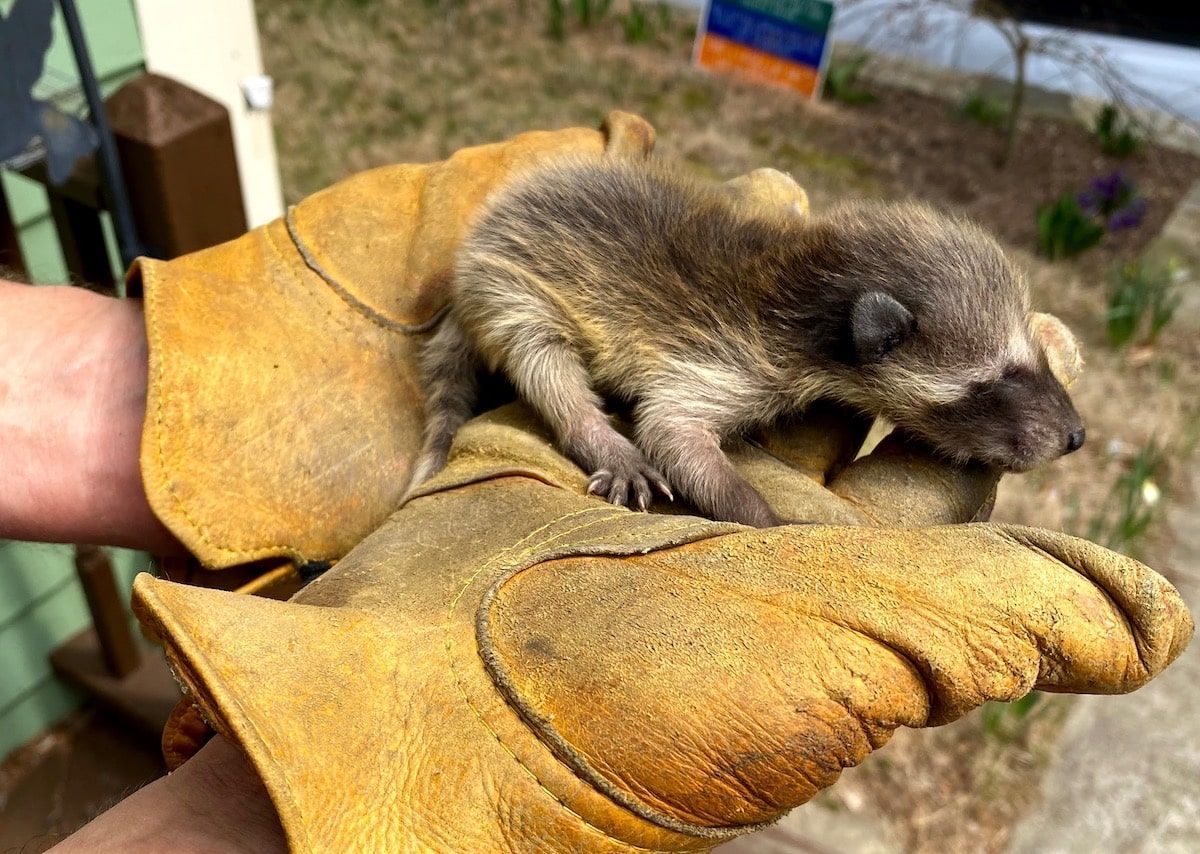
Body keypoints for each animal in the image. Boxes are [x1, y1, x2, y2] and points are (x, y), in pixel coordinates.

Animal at [410, 157, 1085, 528]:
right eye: (997, 380)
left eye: (1035, 362)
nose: (1076, 437)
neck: (808, 284)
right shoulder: (727, 354)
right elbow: (670, 427)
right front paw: (762, 516)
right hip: (513, 286)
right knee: (546, 361)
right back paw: (594, 432)